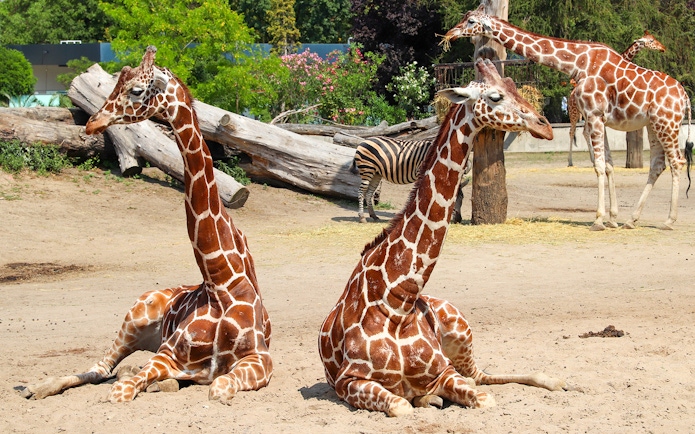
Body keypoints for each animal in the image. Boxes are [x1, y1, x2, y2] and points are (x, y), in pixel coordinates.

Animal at [19, 46, 272, 403]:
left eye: (136, 90)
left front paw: (163, 383)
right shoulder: (168, 354)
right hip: (134, 318)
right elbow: (122, 390)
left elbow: (217, 387)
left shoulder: (260, 358)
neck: (220, 282)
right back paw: (36, 387)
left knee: (113, 371)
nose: (93, 122)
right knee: (101, 368)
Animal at [318, 59, 565, 417]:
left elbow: (482, 396)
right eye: (495, 96)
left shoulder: (444, 370)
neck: (398, 303)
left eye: (515, 85)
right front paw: (423, 398)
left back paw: (552, 379)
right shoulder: (348, 381)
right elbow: (402, 406)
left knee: (482, 374)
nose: (544, 126)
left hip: (462, 333)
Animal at [567, 31, 667, 166]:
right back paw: (570, 162)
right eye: (651, 41)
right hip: (574, 113)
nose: (663, 48)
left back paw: (593, 160)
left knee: (585, 132)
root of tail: (571, 95)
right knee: (572, 132)